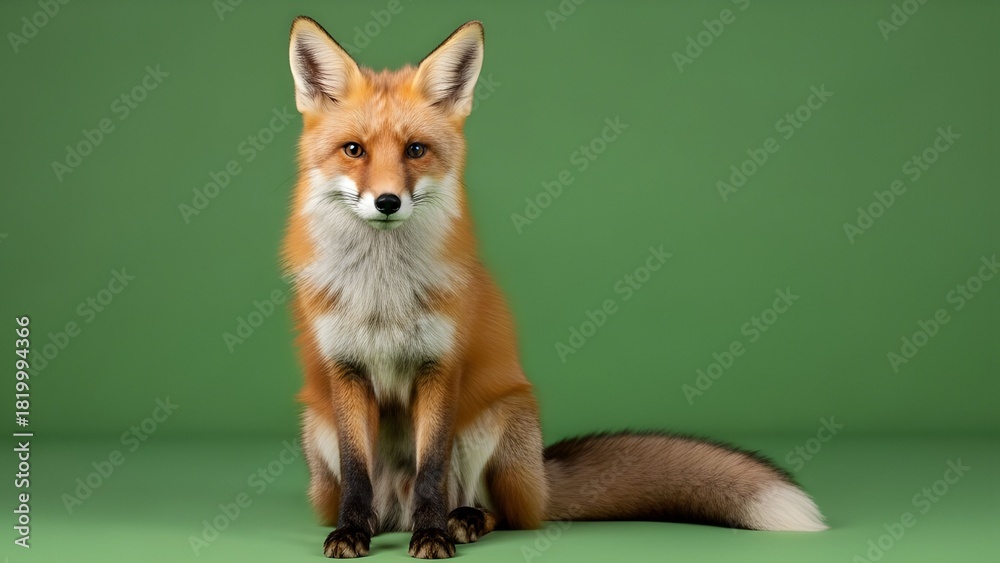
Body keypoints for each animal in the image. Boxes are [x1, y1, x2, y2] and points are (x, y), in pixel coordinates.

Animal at [283, 16, 827, 559]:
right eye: (354, 150)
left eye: (416, 150)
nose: (388, 202)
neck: (383, 294)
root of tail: (542, 479)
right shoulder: (345, 371)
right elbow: (356, 470)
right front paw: (351, 532)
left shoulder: (440, 368)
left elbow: (431, 472)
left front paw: (433, 534)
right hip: (318, 428)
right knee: (383, 499)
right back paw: (381, 524)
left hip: (500, 418)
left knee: (504, 514)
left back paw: (463, 521)